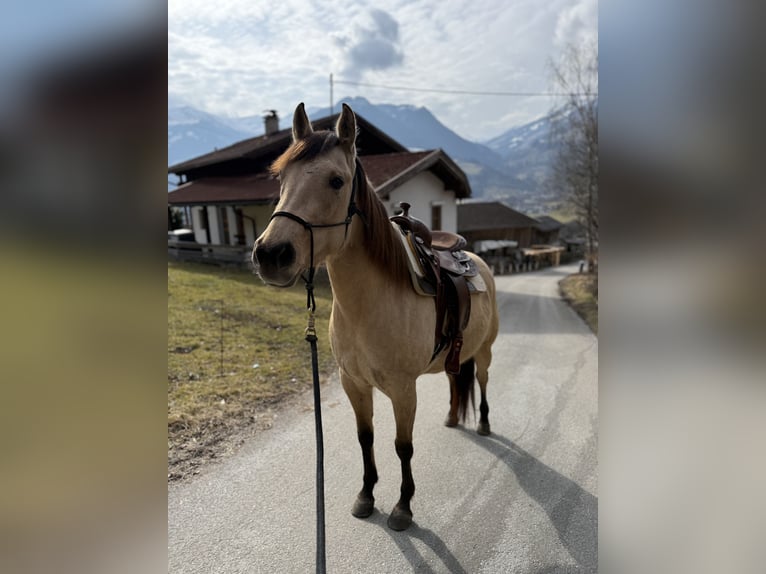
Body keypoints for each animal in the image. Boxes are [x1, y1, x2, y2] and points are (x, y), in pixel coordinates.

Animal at [253, 103, 499, 531]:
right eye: (281, 177)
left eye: (336, 181)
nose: (271, 254)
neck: (367, 308)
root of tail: (478, 260)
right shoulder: (354, 384)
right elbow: (365, 438)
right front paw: (366, 495)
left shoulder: (403, 390)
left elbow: (403, 446)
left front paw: (403, 506)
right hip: (456, 354)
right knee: (457, 379)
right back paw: (453, 418)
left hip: (483, 351)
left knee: (482, 382)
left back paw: (483, 423)